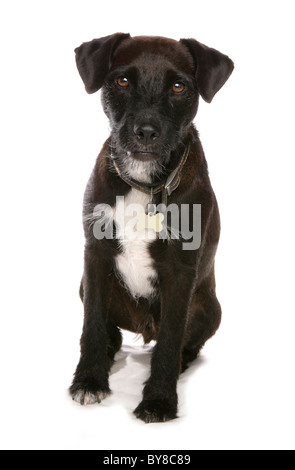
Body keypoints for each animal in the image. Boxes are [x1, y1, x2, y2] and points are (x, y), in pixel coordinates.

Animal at [69, 33, 234, 422]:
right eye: (122, 80)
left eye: (178, 86)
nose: (145, 131)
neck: (145, 184)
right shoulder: (94, 256)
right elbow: (92, 325)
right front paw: (89, 380)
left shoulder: (180, 272)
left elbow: (171, 339)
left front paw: (159, 399)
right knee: (108, 329)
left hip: (211, 309)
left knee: (183, 343)